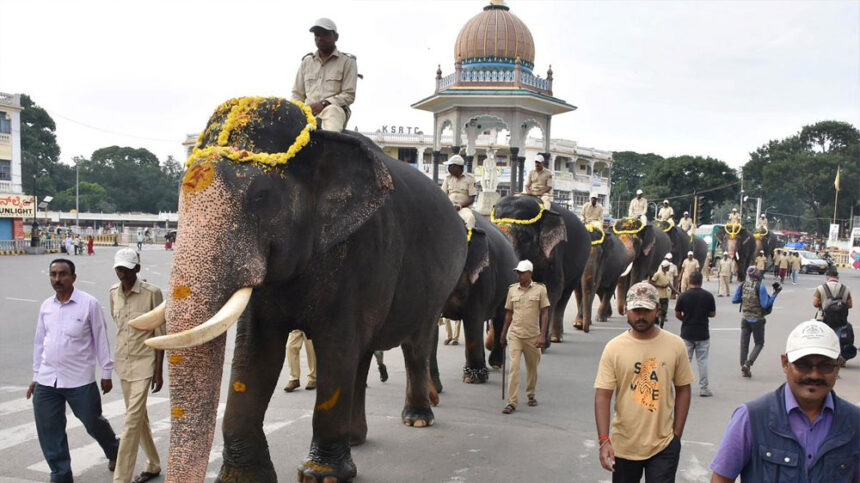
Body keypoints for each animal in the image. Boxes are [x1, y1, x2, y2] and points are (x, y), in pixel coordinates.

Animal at [129, 97, 467, 483]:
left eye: (260, 197)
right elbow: (254, 352)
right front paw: (243, 478)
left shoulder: (362, 252)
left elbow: (336, 346)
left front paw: (322, 475)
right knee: (364, 353)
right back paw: (356, 438)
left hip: (437, 288)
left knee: (415, 345)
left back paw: (417, 419)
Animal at [488, 195, 590, 346]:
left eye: (523, 237)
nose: (489, 344)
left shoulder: (554, 252)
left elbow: (552, 289)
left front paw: (541, 345)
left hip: (580, 267)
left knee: (564, 295)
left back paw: (555, 338)